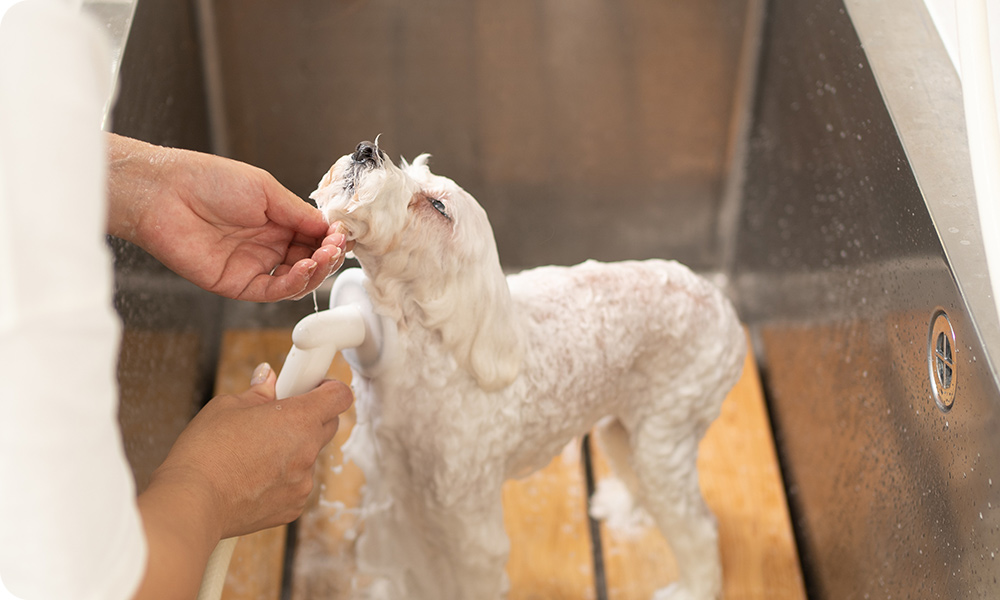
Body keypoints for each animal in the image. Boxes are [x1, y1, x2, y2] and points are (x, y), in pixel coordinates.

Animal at [308, 142, 748, 600]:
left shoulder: (466, 522)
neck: (439, 356)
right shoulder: (402, 491)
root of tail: (726, 312)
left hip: (666, 436)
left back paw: (693, 589)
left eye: (438, 206)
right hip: (623, 428)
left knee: (699, 527)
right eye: (410, 168)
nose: (366, 151)